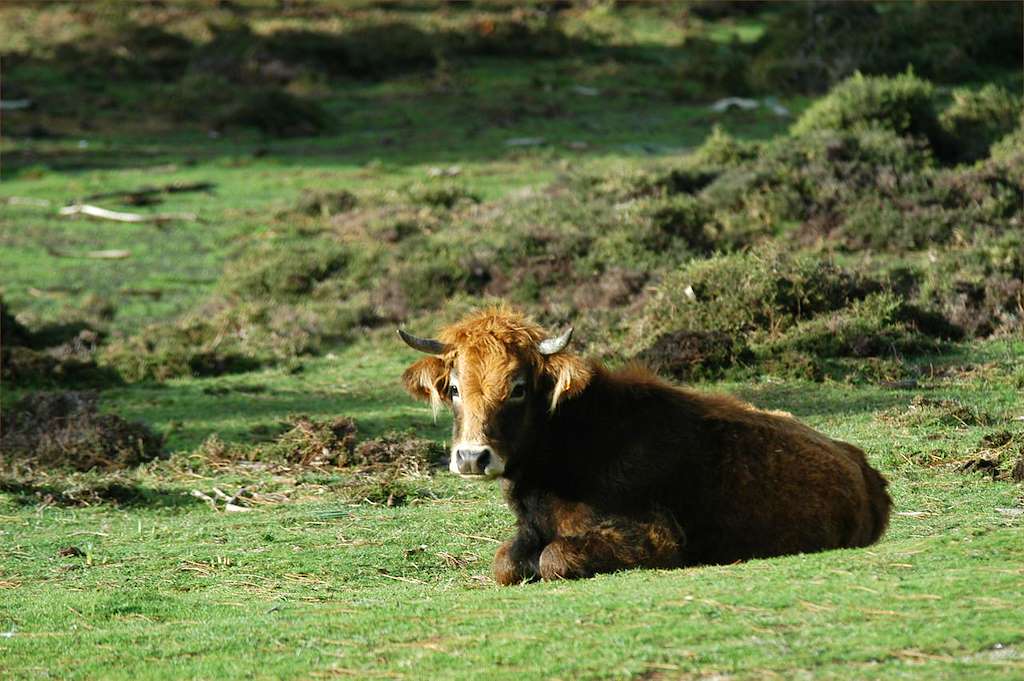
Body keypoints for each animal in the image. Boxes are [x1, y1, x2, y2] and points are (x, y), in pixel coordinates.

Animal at [395, 305, 892, 581]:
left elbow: (554, 558)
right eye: (454, 388)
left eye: (518, 387)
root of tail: (860, 464)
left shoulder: (659, 536)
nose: (472, 457)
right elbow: (505, 563)